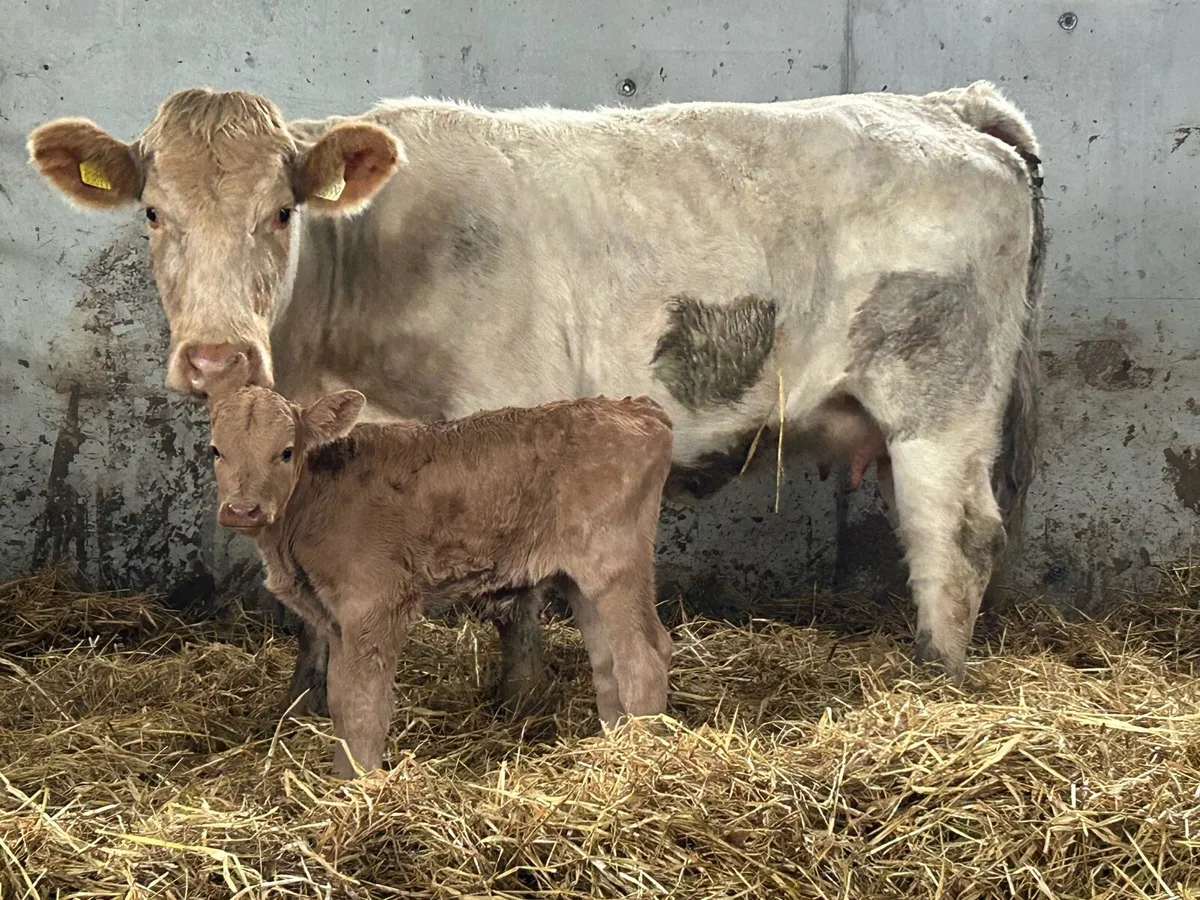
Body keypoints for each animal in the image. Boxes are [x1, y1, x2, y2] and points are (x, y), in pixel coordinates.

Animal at [27, 80, 1044, 702]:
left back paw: (936, 679)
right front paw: (302, 697)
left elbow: (515, 578)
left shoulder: (506, 406)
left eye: (281, 213)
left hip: (937, 398)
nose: (216, 359)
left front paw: (514, 701)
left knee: (957, 539)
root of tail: (946, 106)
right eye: (153, 213)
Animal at [203, 360, 675, 776]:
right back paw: (611, 750)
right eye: (216, 450)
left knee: (645, 656)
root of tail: (637, 407)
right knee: (608, 661)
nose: (243, 510)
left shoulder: (375, 603)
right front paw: (340, 777)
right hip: (579, 579)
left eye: (286, 452)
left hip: (615, 565)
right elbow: (338, 697)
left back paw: (640, 758)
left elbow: (362, 703)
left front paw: (360, 784)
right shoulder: (333, 616)